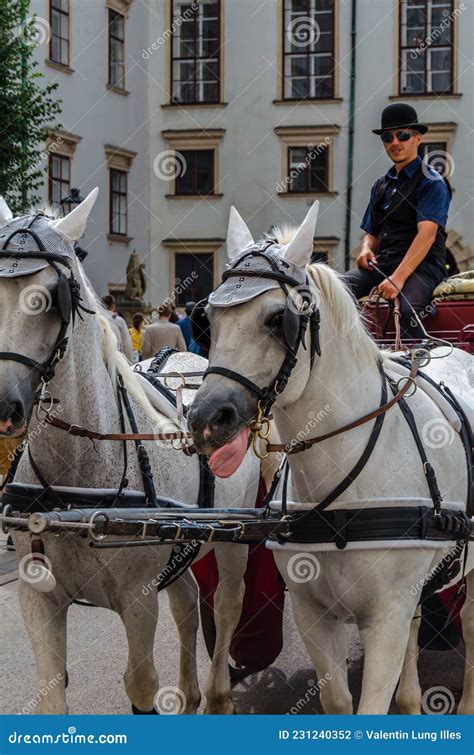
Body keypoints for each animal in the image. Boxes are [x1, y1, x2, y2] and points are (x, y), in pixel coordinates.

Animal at [0, 192, 262, 716]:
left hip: (234, 535)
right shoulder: (37, 597)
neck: (74, 484)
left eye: (48, 297)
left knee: (227, 604)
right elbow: (51, 693)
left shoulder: (139, 600)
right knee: (186, 600)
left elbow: (140, 683)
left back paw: (217, 694)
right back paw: (190, 691)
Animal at [187, 199, 472, 716]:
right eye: (208, 320)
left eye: (276, 319)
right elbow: (338, 702)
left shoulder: (385, 620)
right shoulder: (314, 615)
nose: (205, 418)